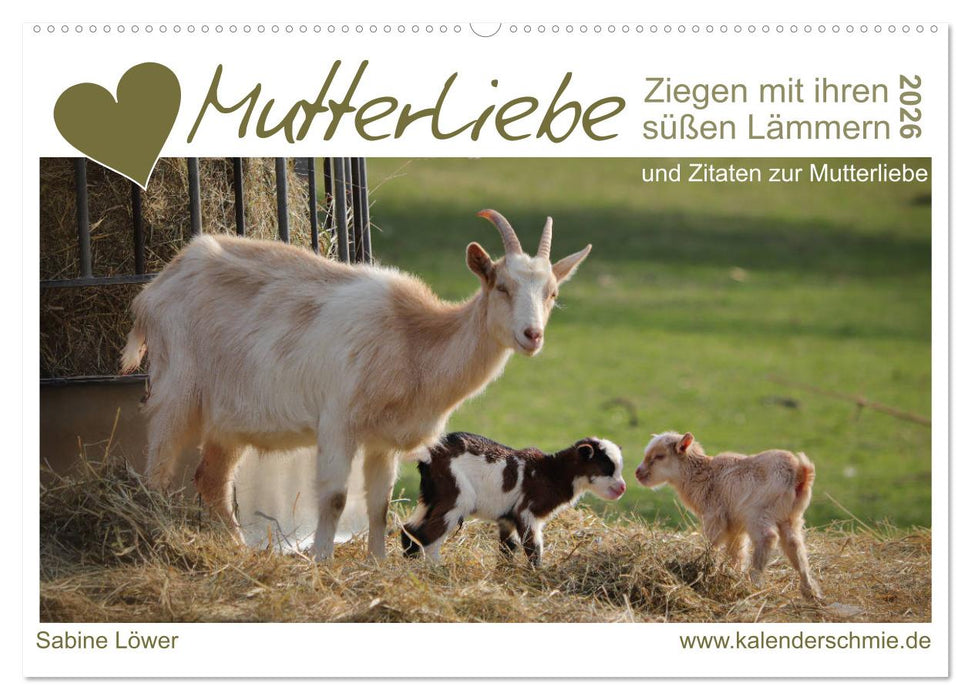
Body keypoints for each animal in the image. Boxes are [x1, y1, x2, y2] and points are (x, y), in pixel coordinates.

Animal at [121, 210, 591, 560]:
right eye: (502, 286)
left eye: (552, 293)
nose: (532, 335)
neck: (413, 338)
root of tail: (154, 290)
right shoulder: (338, 422)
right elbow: (333, 497)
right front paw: (321, 561)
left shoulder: (382, 440)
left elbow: (378, 504)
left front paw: (378, 564)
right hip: (176, 390)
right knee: (157, 471)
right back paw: (152, 539)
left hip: (228, 418)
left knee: (211, 479)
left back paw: (238, 550)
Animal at [401, 432, 626, 566]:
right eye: (607, 468)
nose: (622, 487)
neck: (551, 473)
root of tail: (429, 455)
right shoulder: (527, 511)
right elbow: (533, 548)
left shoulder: (506, 519)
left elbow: (508, 549)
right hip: (456, 495)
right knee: (428, 537)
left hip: (431, 496)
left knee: (409, 531)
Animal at [634, 431, 822, 600]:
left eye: (659, 456)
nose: (638, 473)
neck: (701, 475)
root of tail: (800, 475)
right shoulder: (735, 525)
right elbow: (736, 552)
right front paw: (731, 572)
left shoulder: (714, 516)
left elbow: (712, 543)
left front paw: (705, 567)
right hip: (790, 517)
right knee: (795, 546)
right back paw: (810, 592)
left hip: (758, 512)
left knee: (768, 538)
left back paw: (754, 582)